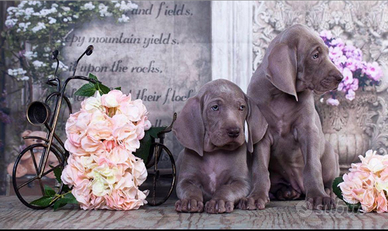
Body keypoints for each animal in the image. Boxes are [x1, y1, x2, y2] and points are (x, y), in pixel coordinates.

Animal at [173, 78, 266, 214]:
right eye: (215, 107)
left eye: (242, 107)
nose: (234, 131)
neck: (215, 152)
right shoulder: (185, 180)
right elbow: (191, 189)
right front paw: (190, 201)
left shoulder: (241, 182)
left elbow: (226, 189)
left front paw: (218, 201)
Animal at [244, 23, 344, 211]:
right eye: (315, 55)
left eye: (328, 53)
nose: (341, 78)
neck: (280, 94)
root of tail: (299, 187)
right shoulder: (261, 134)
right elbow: (260, 167)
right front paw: (255, 197)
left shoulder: (308, 129)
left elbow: (312, 165)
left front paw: (318, 197)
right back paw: (286, 192)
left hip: (330, 154)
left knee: (329, 180)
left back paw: (327, 192)